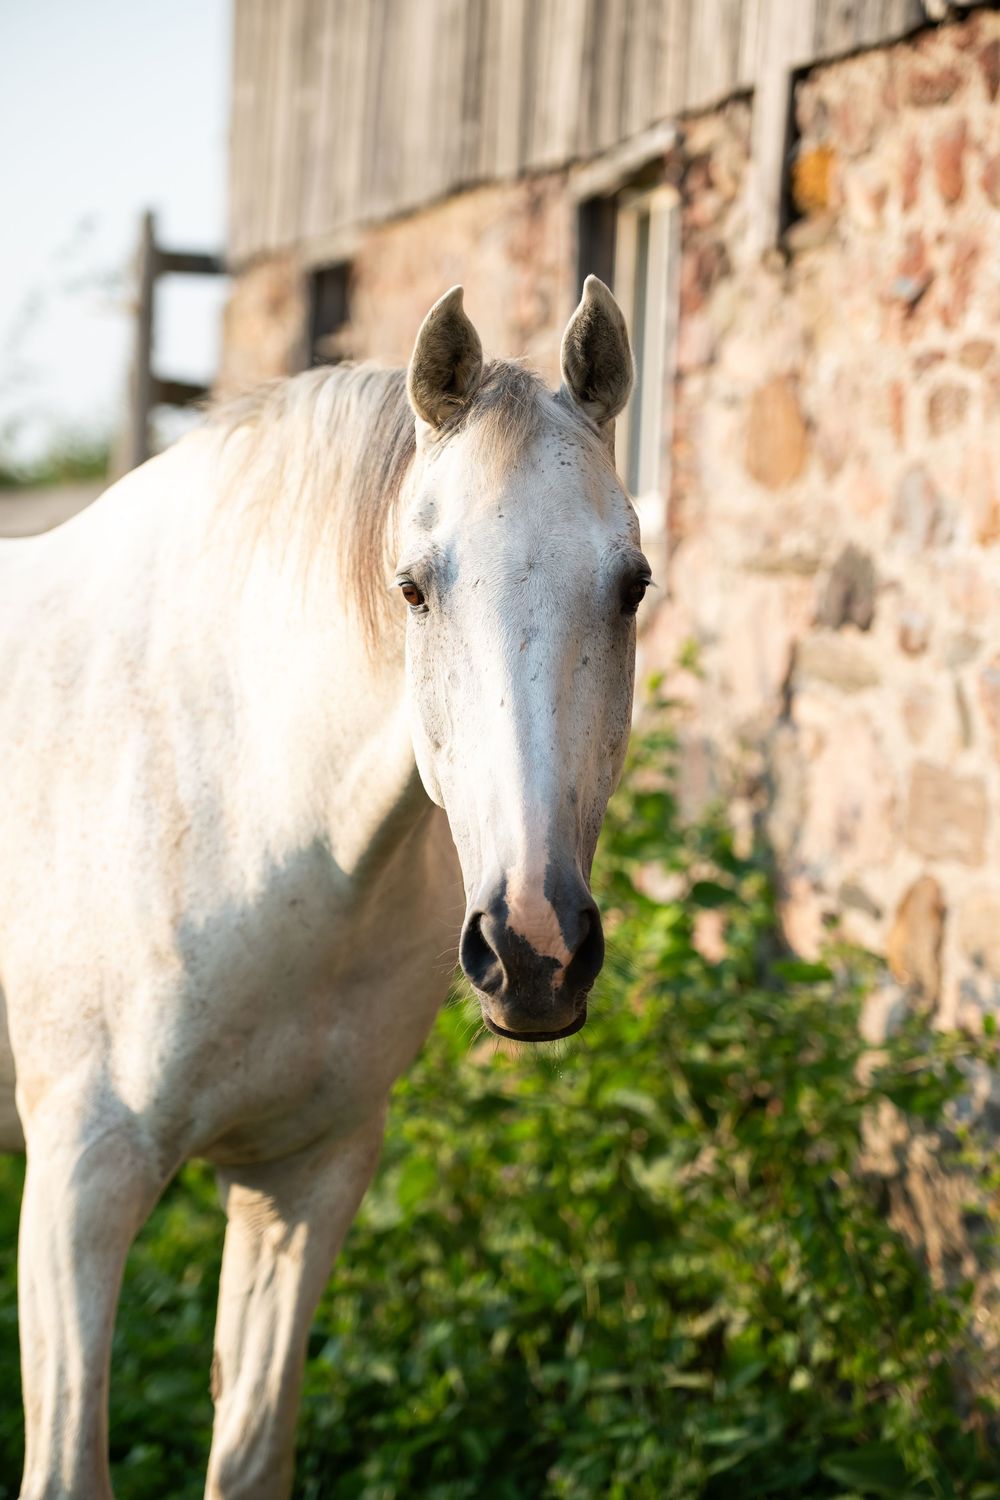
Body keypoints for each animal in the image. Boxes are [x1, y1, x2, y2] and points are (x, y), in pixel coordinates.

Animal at [0, 275, 646, 1499]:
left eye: (632, 586)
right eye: (414, 588)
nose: (535, 950)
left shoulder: (306, 1174)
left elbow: (251, 1454)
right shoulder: (81, 1185)